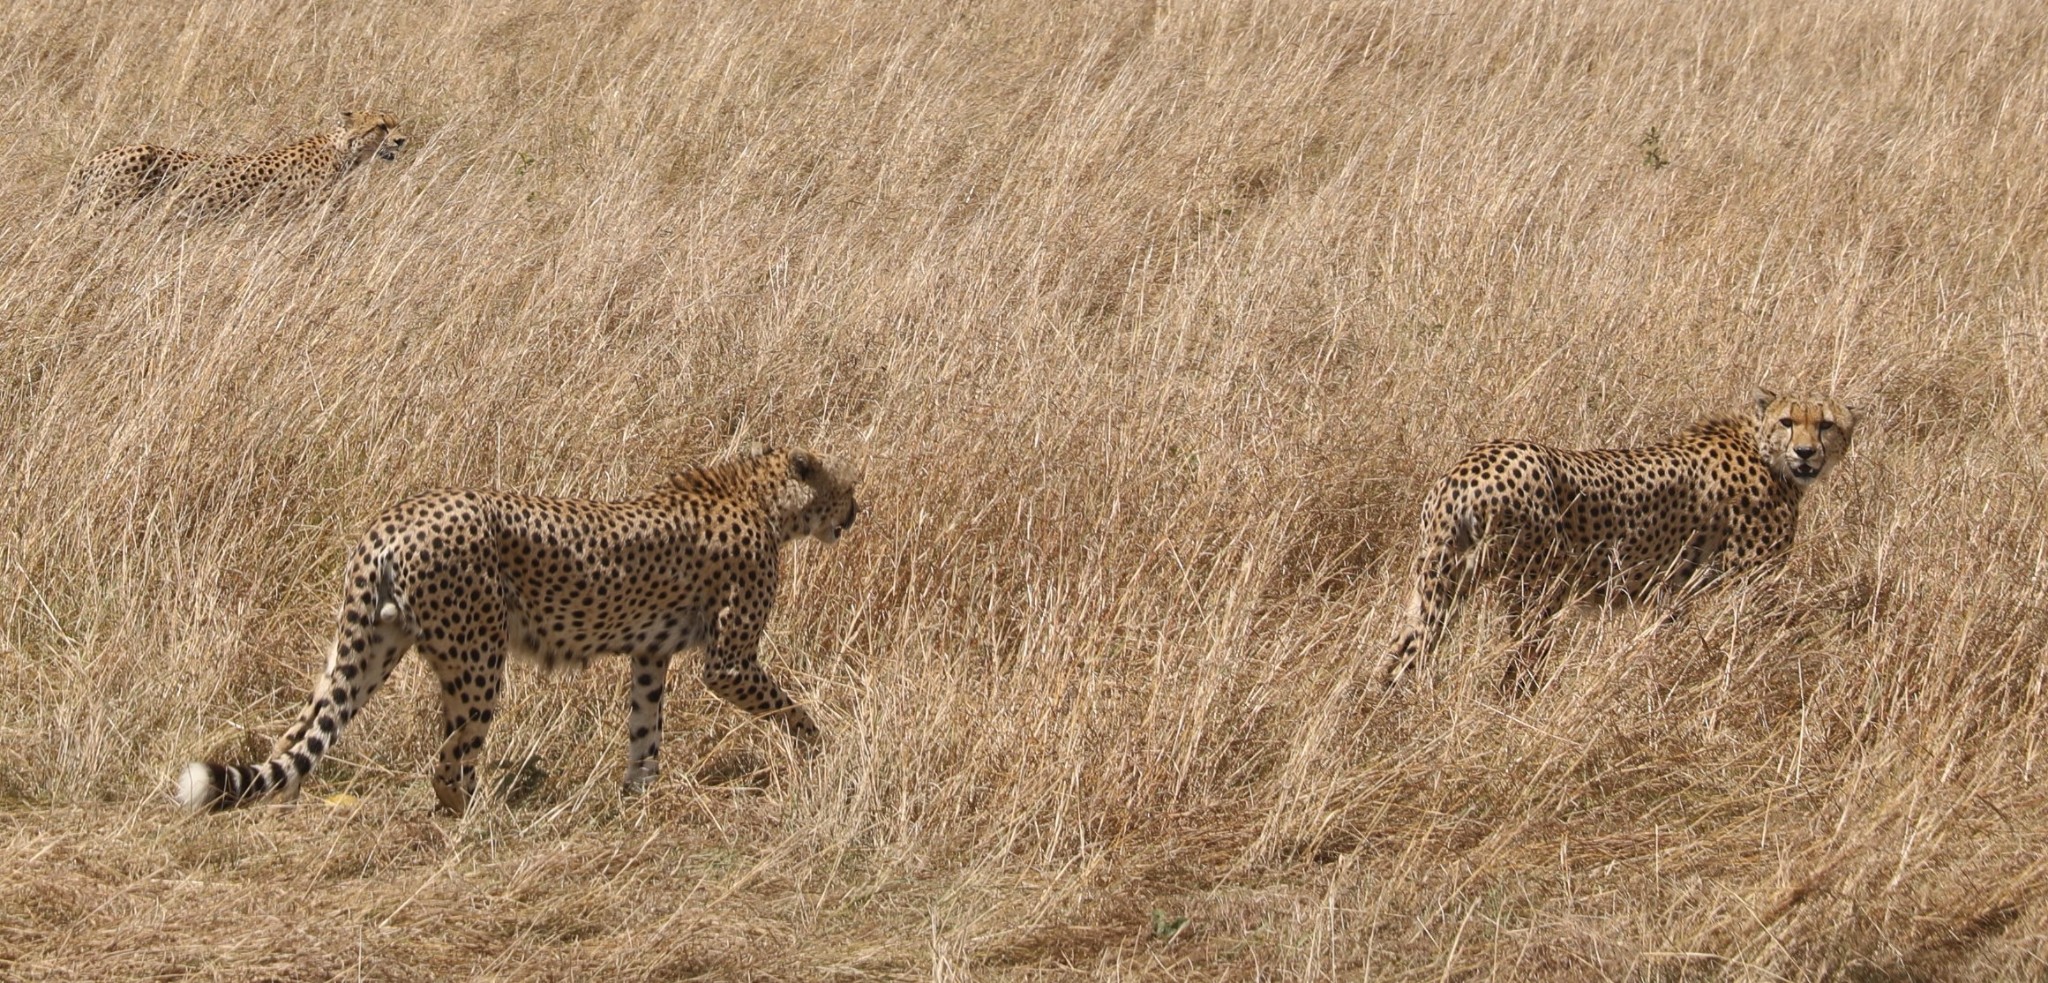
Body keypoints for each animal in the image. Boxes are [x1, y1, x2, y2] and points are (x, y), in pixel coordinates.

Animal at [167, 446, 856, 815]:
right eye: (845, 487)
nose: (855, 511)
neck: (762, 497)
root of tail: (393, 519)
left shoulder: (649, 655)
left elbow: (645, 728)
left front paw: (637, 795)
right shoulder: (729, 662)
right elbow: (790, 708)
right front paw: (823, 751)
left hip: (367, 649)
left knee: (300, 733)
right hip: (477, 661)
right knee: (448, 762)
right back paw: (480, 821)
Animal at [1376, 391, 1859, 692]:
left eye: (1826, 425)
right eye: (1788, 421)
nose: (1805, 453)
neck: (1763, 450)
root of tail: (1470, 467)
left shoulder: (1674, 592)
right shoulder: (1748, 587)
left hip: (1439, 577)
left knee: (1401, 646)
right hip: (1537, 589)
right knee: (1519, 661)